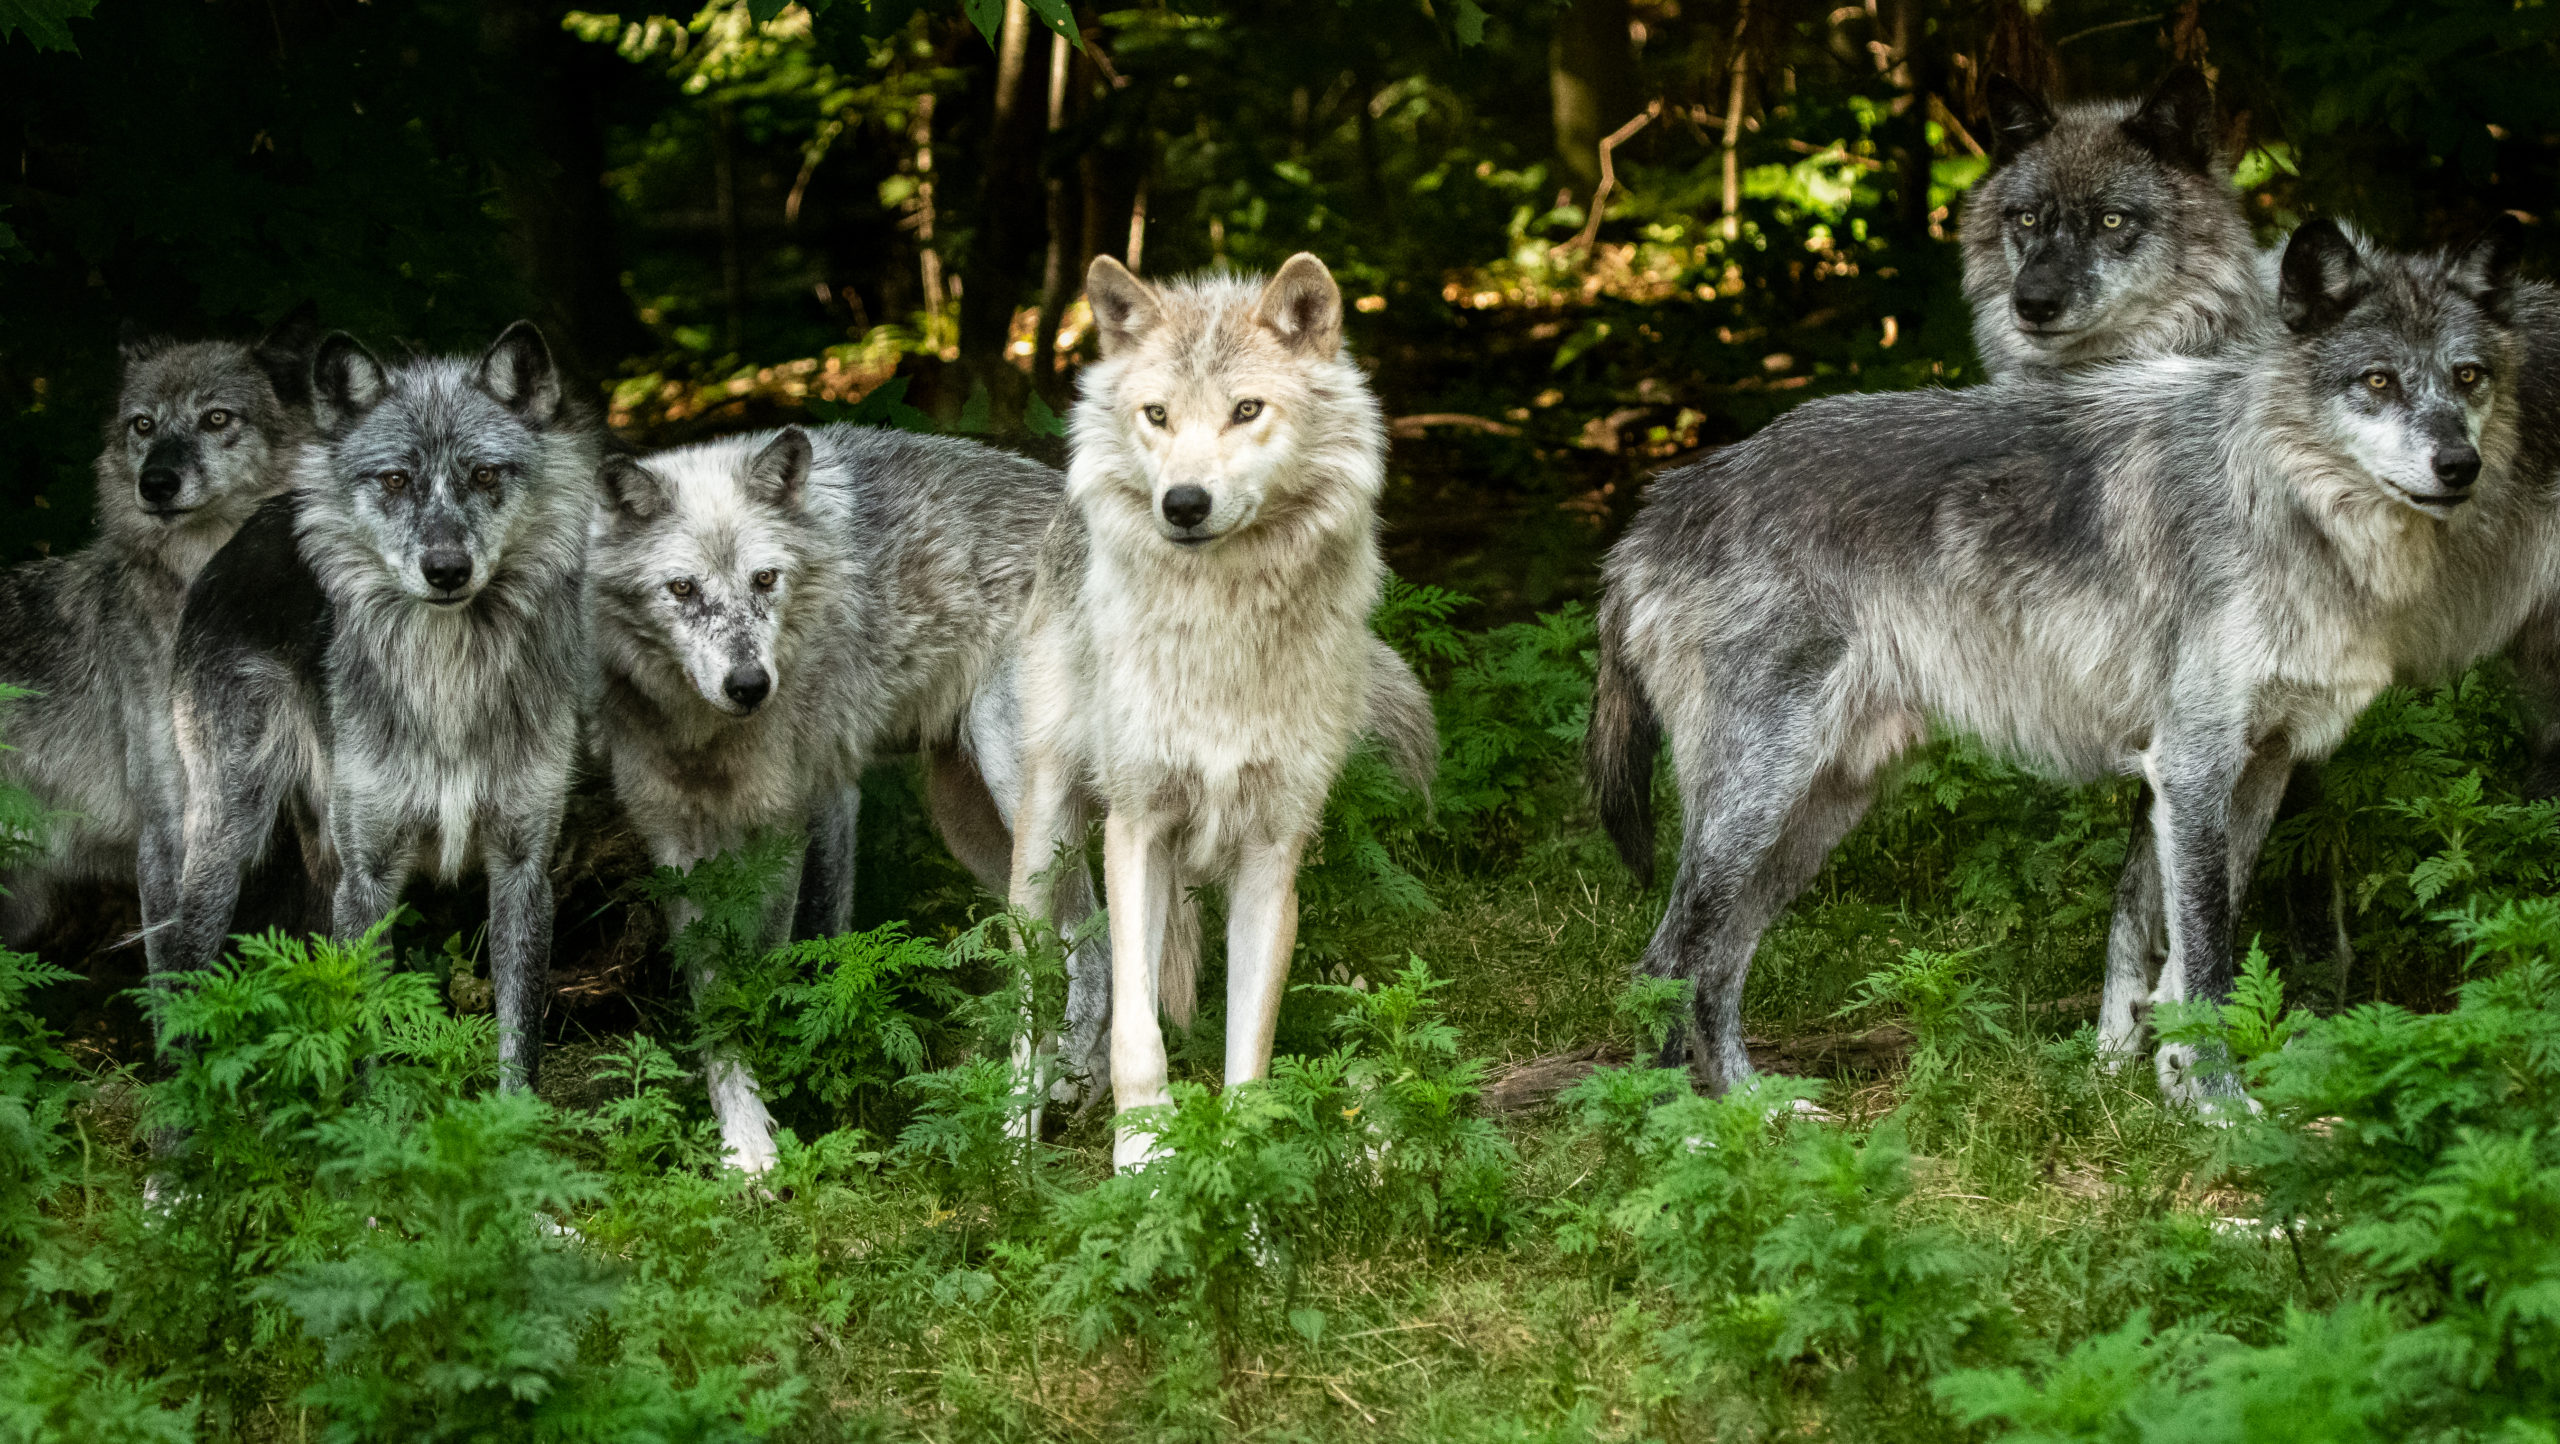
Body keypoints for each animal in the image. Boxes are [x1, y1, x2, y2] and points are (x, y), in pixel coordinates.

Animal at [163, 316, 593, 1090]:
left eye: (485, 475)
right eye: (395, 479)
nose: (446, 569)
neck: (447, 675)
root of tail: (247, 529)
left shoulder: (523, 868)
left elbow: (519, 1039)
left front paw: (517, 1118)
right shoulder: (370, 875)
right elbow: (363, 1032)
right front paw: (369, 1120)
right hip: (226, 838)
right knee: (185, 967)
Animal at [1008, 253, 1433, 1167]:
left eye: (1246, 410)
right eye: (1158, 415)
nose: (1184, 504)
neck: (1222, 631)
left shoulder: (1275, 852)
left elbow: (1251, 1052)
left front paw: (1243, 1177)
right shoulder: (1134, 828)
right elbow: (1134, 1038)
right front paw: (1141, 1162)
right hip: (1045, 842)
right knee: (1027, 1004)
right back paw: (1014, 1148)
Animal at [1587, 220, 2529, 1106]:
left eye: (2468, 377)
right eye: (2378, 381)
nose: (2460, 465)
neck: (2276, 495)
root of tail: (1661, 505)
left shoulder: (2258, 768)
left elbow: (2186, 959)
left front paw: (2173, 1090)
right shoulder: (2192, 767)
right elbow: (2209, 964)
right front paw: (2224, 1111)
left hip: (1820, 808)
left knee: (1717, 964)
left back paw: (1758, 1114)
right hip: (1759, 799)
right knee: (1667, 962)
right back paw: (1681, 1133)